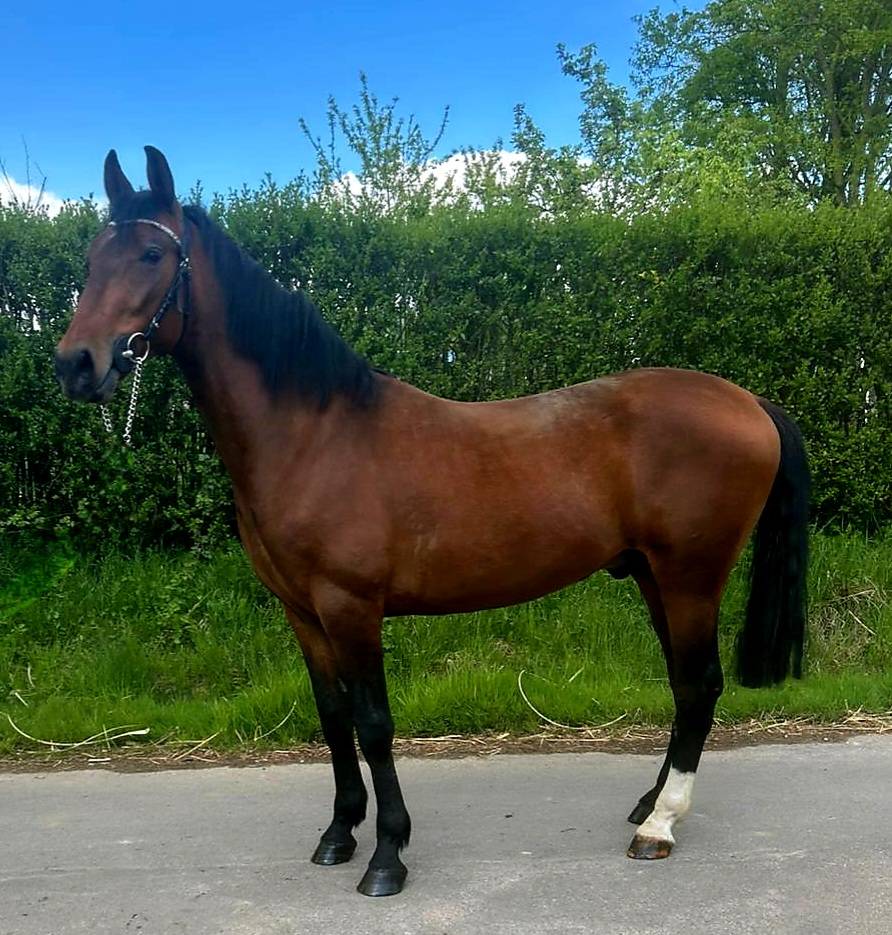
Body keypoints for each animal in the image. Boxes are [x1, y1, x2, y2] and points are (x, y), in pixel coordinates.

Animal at [54, 147, 809, 897]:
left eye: (153, 253)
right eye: (92, 257)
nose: (75, 364)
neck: (313, 434)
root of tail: (750, 402)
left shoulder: (351, 606)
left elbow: (374, 724)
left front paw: (387, 854)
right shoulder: (302, 611)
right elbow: (332, 719)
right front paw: (339, 833)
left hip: (691, 577)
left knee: (700, 684)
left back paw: (659, 826)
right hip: (654, 576)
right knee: (685, 685)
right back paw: (649, 804)